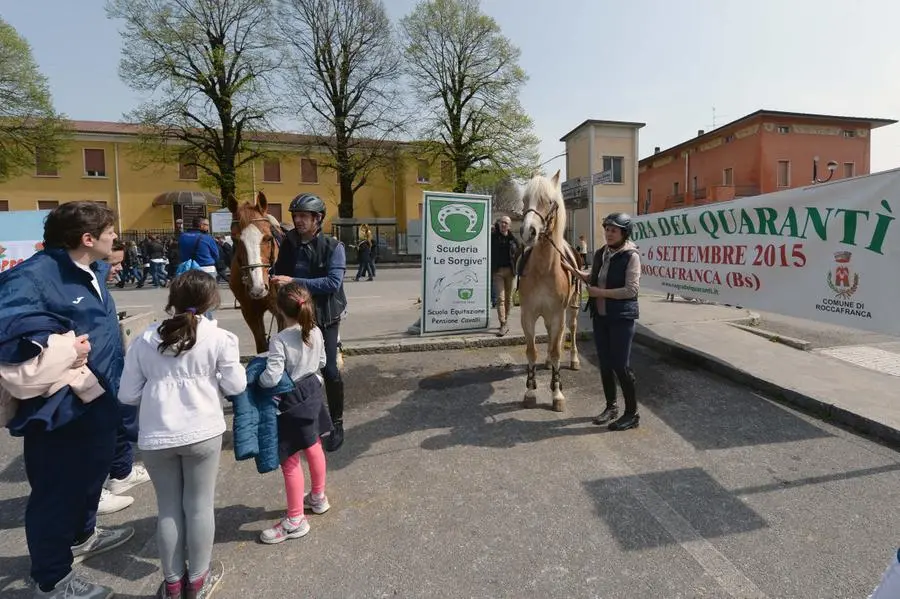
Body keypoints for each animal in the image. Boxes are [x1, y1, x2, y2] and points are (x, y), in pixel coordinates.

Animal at [227, 190, 284, 354]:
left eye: (268, 238)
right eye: (235, 240)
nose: (257, 287)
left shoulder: (282, 313)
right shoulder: (250, 313)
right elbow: (262, 346)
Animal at [512, 170, 584, 412]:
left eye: (548, 201)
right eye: (525, 200)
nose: (527, 232)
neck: (544, 269)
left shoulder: (557, 315)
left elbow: (556, 351)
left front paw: (557, 393)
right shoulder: (528, 314)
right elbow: (532, 351)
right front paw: (529, 390)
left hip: (571, 310)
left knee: (570, 331)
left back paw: (573, 360)